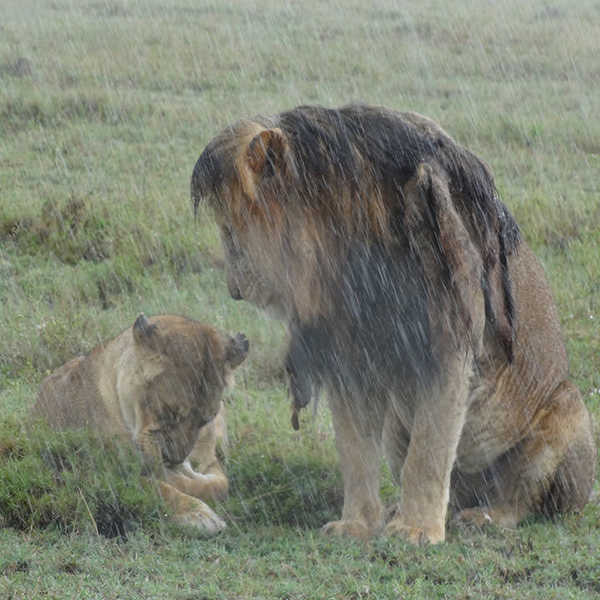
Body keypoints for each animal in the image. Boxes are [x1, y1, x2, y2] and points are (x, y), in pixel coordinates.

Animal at [32, 314, 248, 536]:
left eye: (205, 420)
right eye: (168, 412)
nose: (173, 459)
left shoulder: (208, 459)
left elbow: (219, 485)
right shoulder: (92, 469)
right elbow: (156, 488)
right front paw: (198, 514)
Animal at [191, 103, 596, 544]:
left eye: (230, 230)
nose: (234, 289)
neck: (350, 245)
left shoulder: (446, 343)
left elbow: (429, 452)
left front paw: (415, 531)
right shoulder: (347, 352)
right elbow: (355, 449)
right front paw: (357, 524)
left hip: (567, 409)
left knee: (520, 502)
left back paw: (484, 516)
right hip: (397, 429)